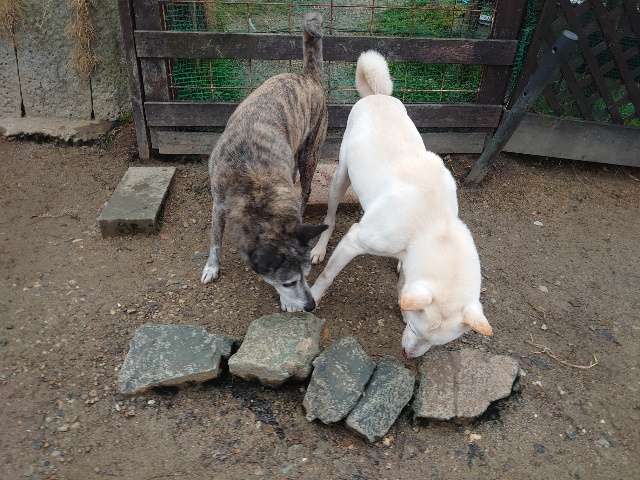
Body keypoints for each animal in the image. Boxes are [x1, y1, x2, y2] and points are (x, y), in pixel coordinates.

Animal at [201, 11, 328, 312]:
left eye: (307, 275)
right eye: (289, 283)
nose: (310, 306)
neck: (252, 182)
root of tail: (308, 77)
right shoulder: (218, 204)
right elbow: (215, 240)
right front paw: (212, 266)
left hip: (309, 155)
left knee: (305, 190)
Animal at [310, 50, 492, 358]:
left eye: (435, 343)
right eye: (417, 332)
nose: (409, 356)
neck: (434, 225)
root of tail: (377, 96)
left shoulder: (411, 260)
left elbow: (404, 283)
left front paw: (403, 304)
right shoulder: (353, 241)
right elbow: (327, 276)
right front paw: (311, 297)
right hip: (340, 177)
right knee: (330, 217)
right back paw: (319, 248)